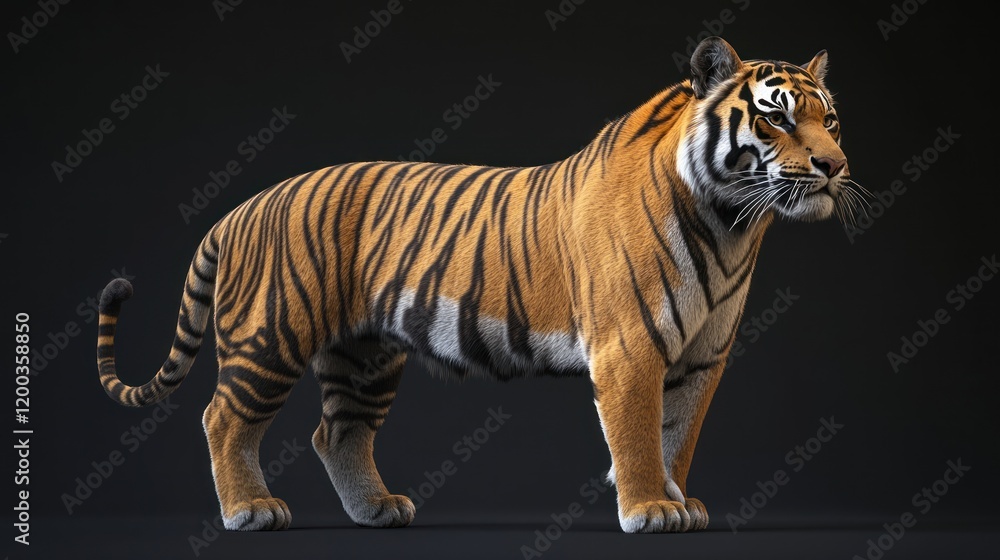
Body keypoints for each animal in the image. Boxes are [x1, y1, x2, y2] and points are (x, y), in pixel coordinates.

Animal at [96, 36, 864, 533]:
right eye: (775, 115)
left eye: (830, 118)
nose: (834, 166)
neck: (731, 223)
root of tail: (241, 207)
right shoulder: (630, 347)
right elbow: (640, 433)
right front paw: (649, 508)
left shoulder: (704, 355)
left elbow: (679, 432)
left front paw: (680, 500)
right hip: (272, 335)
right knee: (223, 418)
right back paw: (248, 511)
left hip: (364, 356)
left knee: (335, 432)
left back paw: (377, 511)